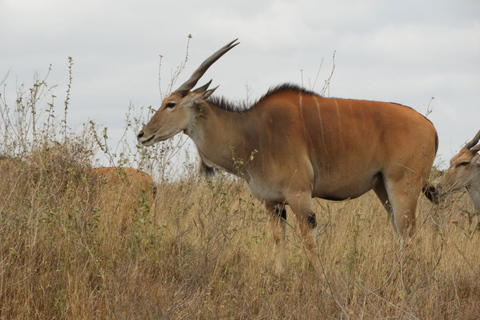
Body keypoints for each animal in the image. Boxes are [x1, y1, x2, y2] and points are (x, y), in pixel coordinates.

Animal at [138, 39, 438, 276]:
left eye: (171, 104)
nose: (142, 135)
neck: (252, 132)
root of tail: (430, 127)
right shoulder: (272, 203)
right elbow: (278, 238)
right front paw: (279, 276)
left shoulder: (300, 196)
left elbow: (309, 241)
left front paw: (322, 282)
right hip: (382, 188)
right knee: (405, 235)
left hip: (402, 186)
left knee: (410, 236)